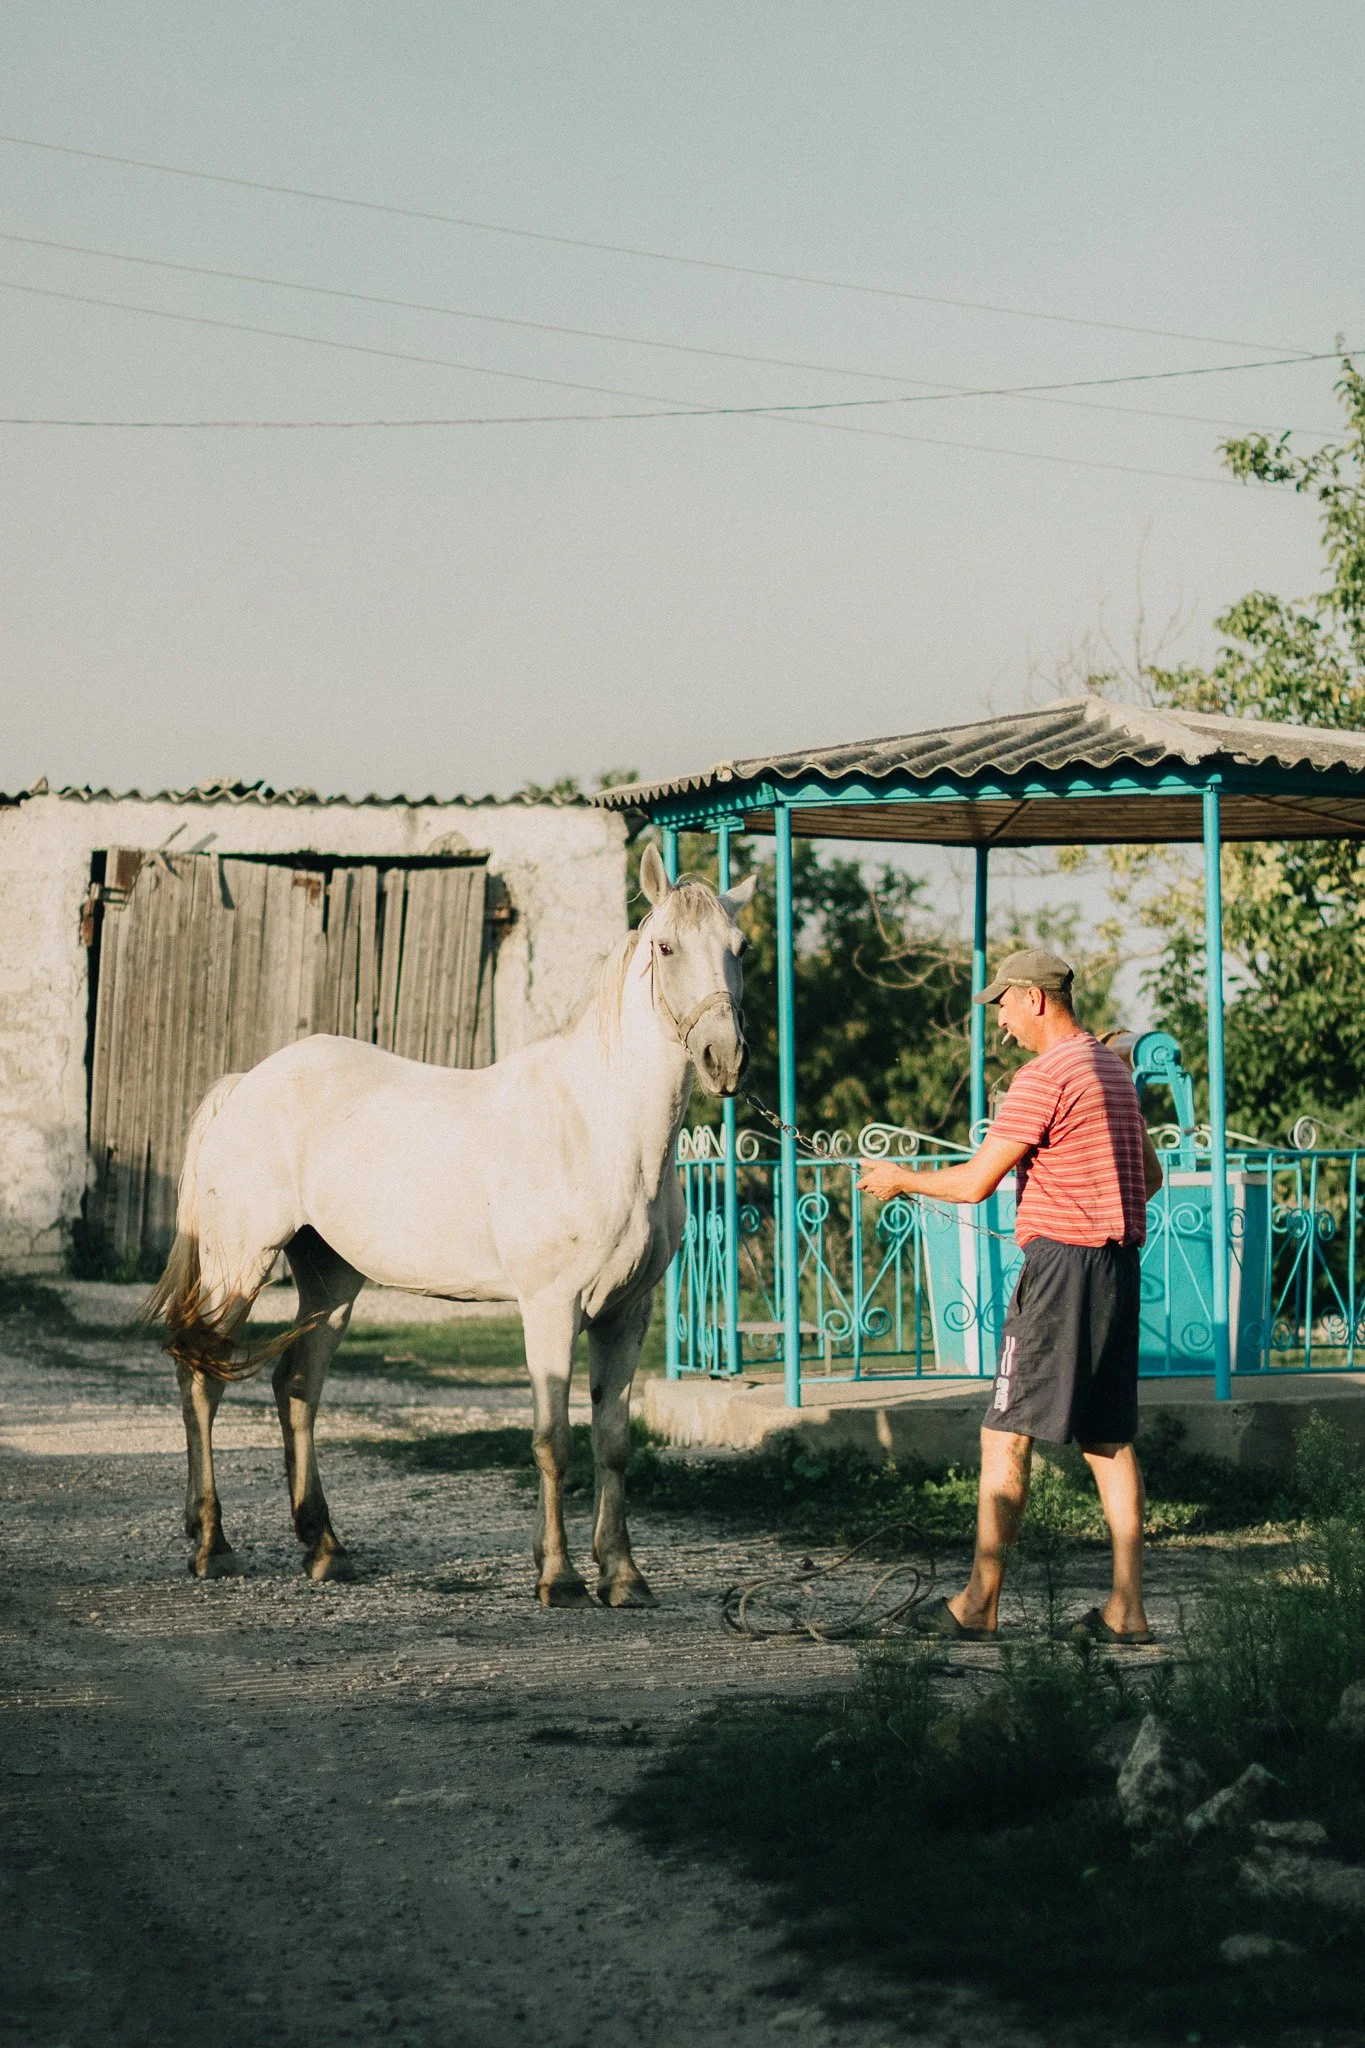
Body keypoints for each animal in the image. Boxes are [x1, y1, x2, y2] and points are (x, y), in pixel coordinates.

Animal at [144, 844, 754, 1605]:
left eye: (740, 948)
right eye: (666, 946)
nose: (724, 1058)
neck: (600, 1127)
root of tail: (244, 1084)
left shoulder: (626, 1313)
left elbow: (612, 1442)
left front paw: (622, 1575)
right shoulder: (550, 1309)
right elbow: (553, 1439)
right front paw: (558, 1577)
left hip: (331, 1282)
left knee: (296, 1387)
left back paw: (325, 1548)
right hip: (240, 1266)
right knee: (204, 1380)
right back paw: (212, 1545)